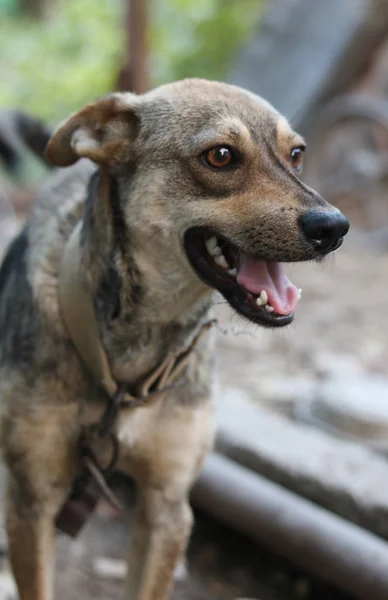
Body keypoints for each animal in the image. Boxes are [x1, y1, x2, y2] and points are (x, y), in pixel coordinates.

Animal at [0, 79, 350, 600]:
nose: (335, 227)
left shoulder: (167, 507)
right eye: (220, 156)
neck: (139, 342)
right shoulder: (33, 500)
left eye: (297, 154)